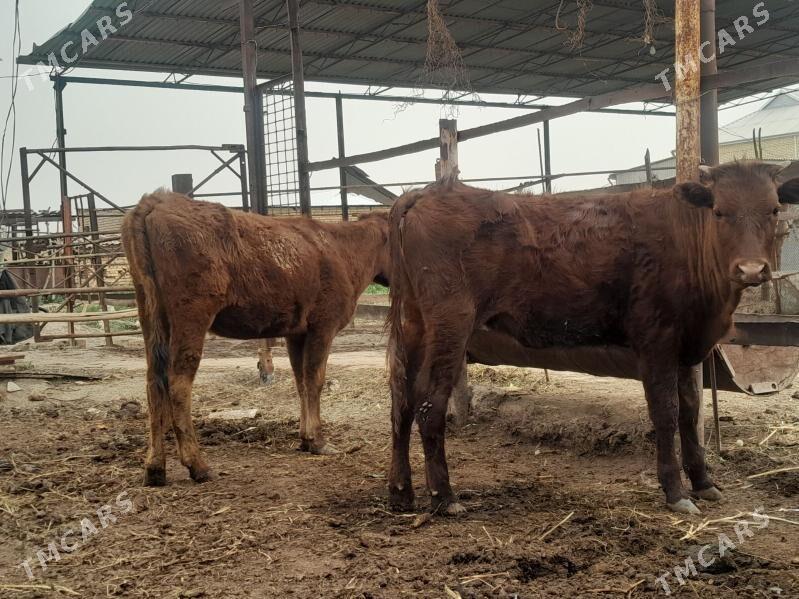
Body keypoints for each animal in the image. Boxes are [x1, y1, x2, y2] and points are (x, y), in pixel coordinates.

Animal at [122, 191, 389, 486]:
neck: (344, 250)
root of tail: (156, 200)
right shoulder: (323, 326)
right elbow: (315, 381)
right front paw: (318, 441)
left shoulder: (296, 333)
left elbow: (301, 383)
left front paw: (305, 439)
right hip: (191, 315)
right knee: (177, 383)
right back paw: (198, 465)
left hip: (150, 315)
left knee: (153, 383)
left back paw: (155, 468)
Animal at [386, 161, 799, 516]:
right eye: (719, 212)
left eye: (774, 210)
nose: (751, 270)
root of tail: (427, 194)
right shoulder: (656, 340)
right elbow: (666, 413)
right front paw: (676, 492)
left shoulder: (687, 348)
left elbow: (691, 411)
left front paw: (704, 483)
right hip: (450, 323)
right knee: (429, 405)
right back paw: (444, 497)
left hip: (414, 324)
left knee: (402, 401)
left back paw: (401, 492)